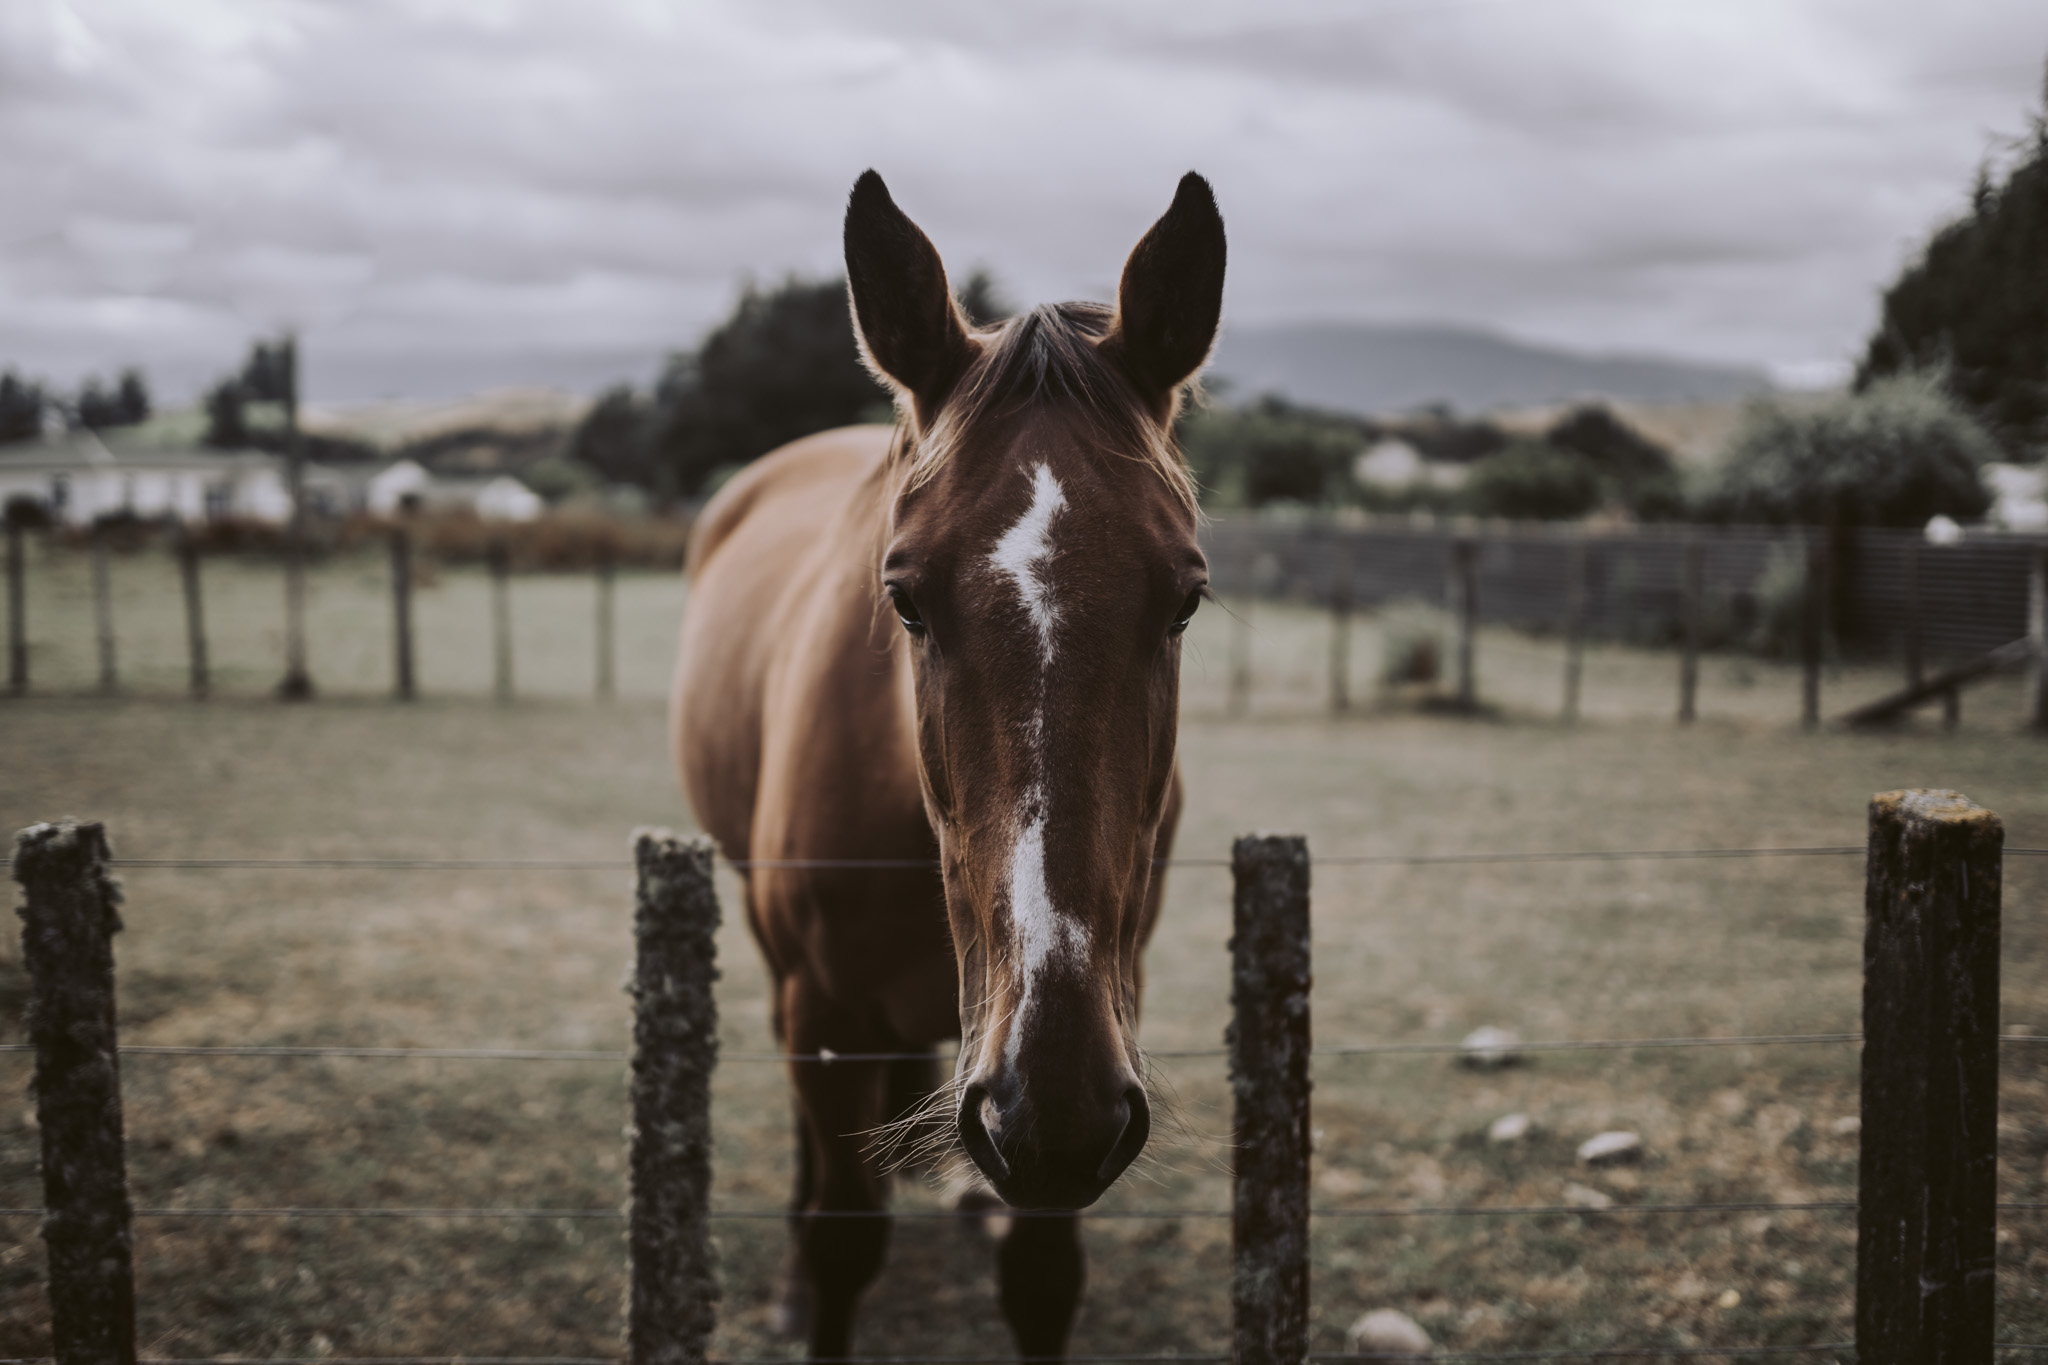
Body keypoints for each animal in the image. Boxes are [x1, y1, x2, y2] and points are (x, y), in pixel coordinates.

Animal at [671, 173, 1220, 1365]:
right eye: (905, 597)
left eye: (1185, 598)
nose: (1046, 1105)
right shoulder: (828, 1019)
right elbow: (843, 1241)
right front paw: (812, 1283)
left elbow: (1043, 1275)